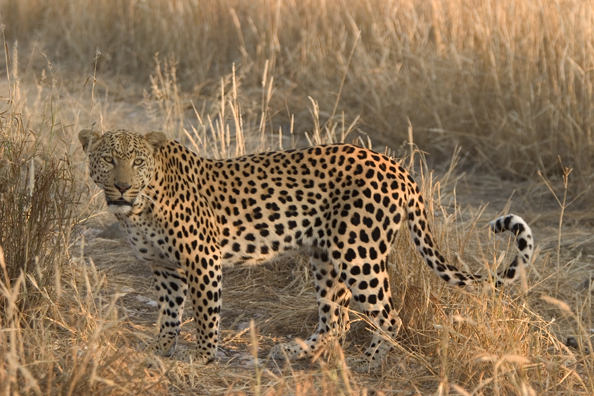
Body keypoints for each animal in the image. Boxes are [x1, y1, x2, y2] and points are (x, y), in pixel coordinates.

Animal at [78, 129, 532, 372]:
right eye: (108, 160)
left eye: (137, 162)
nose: (121, 186)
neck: (140, 208)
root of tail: (397, 167)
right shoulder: (165, 269)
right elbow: (170, 315)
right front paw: (160, 349)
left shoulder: (202, 260)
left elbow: (206, 314)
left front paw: (202, 357)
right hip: (326, 256)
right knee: (337, 318)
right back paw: (296, 351)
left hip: (358, 253)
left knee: (389, 315)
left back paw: (368, 362)